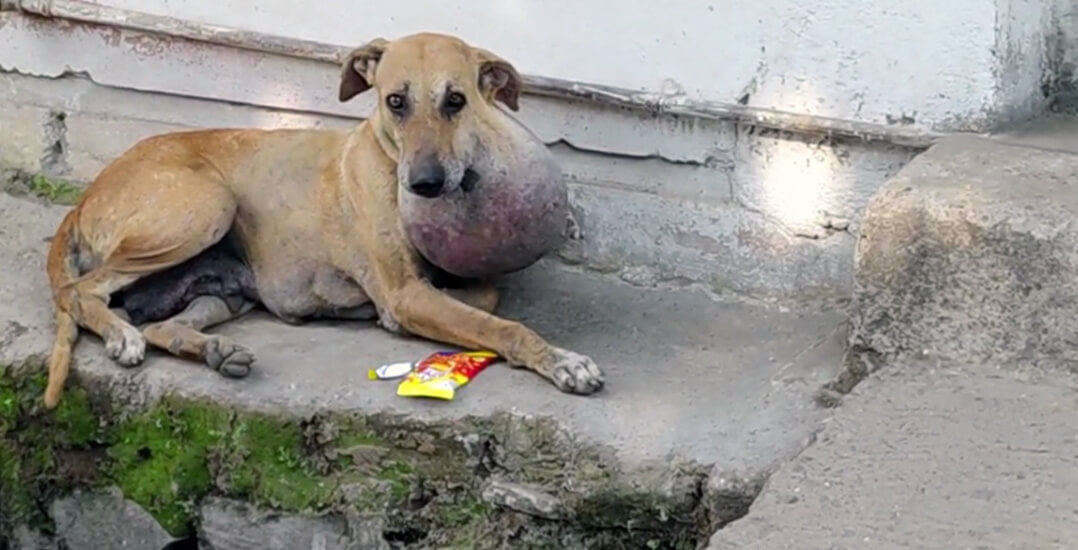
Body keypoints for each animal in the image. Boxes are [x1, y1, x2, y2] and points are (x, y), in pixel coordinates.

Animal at [37, 31, 603, 407]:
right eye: (396, 101)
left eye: (456, 100)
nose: (424, 185)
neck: (387, 155)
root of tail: (86, 198)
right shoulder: (405, 293)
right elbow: (502, 325)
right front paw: (562, 360)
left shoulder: (434, 286)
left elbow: (485, 298)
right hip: (204, 209)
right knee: (80, 292)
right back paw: (120, 335)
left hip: (223, 292)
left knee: (161, 325)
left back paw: (212, 349)